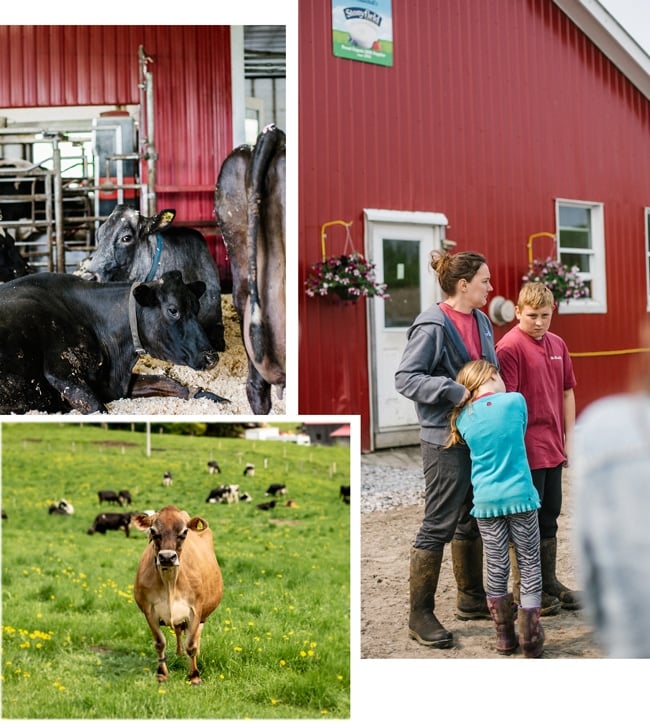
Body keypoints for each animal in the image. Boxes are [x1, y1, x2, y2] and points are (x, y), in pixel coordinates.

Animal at [0, 268, 218, 414]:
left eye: (197, 307)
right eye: (173, 310)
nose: (212, 357)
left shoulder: (114, 384)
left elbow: (173, 384)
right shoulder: (61, 371)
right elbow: (99, 409)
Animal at [132, 504, 223, 684]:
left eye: (184, 532)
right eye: (153, 531)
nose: (167, 557)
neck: (170, 583)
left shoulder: (195, 610)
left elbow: (192, 644)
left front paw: (194, 676)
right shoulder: (149, 610)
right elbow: (159, 643)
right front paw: (162, 674)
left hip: (203, 615)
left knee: (195, 635)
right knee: (180, 632)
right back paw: (179, 654)